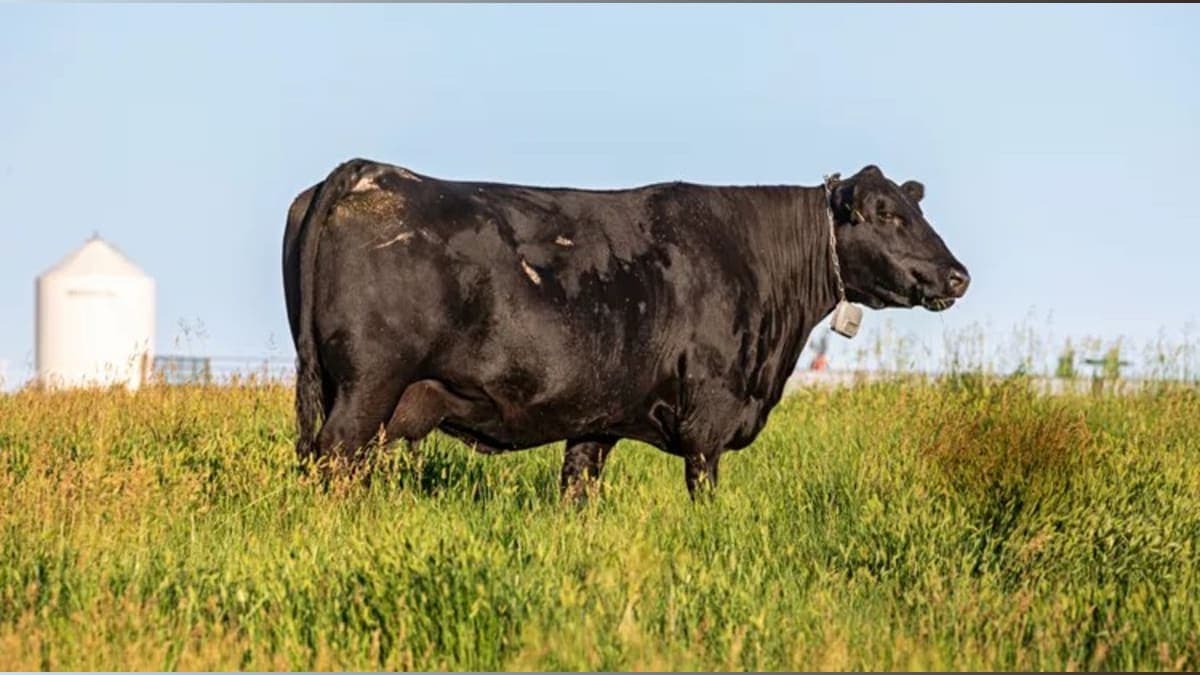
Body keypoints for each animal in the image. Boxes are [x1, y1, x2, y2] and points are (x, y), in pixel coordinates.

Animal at [282, 160, 969, 497]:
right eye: (884, 213)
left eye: (915, 208)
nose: (957, 276)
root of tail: (368, 170)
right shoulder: (709, 421)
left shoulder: (598, 420)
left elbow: (578, 492)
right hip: (368, 387)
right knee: (331, 461)